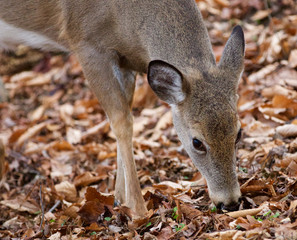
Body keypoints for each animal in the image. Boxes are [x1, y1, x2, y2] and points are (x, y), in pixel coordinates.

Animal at [0, 0, 243, 218]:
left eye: (239, 133)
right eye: (196, 142)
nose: (230, 202)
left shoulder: (125, 61)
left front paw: (118, 199)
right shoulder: (86, 42)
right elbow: (121, 121)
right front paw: (138, 210)